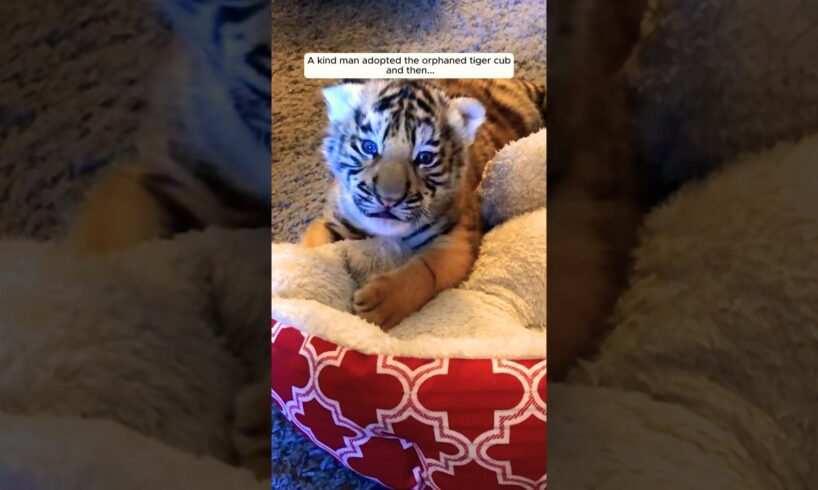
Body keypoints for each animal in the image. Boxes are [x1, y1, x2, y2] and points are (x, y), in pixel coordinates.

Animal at [302, 78, 546, 330]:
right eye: (369, 147)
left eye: (425, 158)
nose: (389, 199)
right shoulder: (335, 222)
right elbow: (313, 247)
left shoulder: (457, 241)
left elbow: (424, 271)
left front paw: (375, 307)